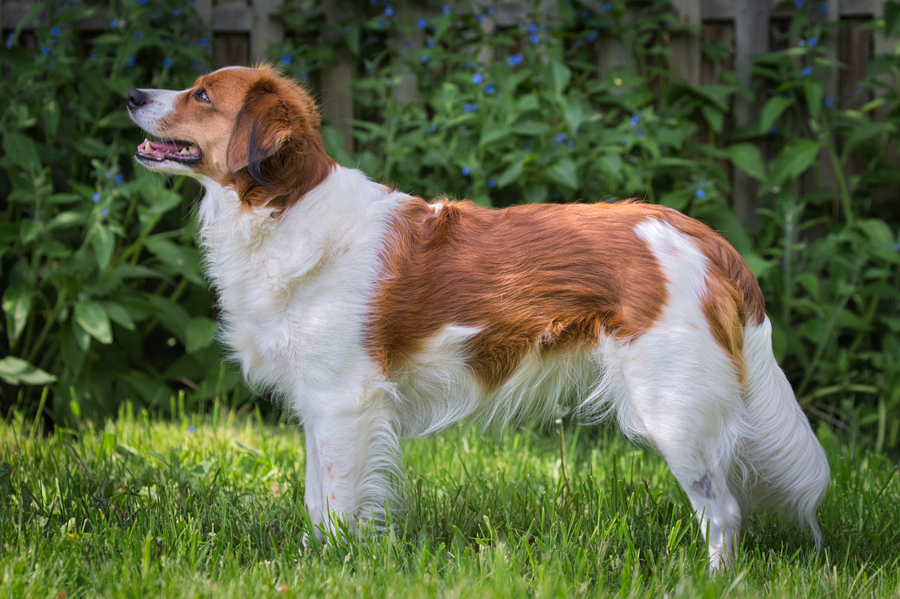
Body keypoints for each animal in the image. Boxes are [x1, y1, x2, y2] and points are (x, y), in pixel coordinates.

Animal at [126, 65, 828, 568]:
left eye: (202, 95)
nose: (132, 93)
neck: (284, 210)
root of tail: (702, 236)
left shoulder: (344, 400)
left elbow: (340, 502)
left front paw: (334, 566)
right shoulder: (318, 404)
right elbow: (316, 500)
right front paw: (312, 560)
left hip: (672, 409)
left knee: (725, 512)